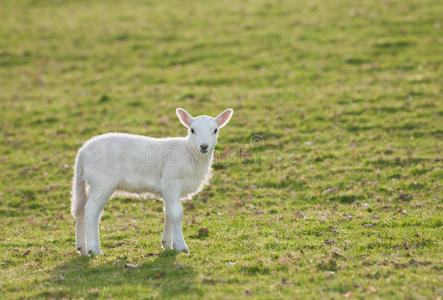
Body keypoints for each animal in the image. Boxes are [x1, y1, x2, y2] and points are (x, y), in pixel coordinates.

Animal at [70, 108, 234, 255]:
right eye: (192, 130)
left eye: (215, 130)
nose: (204, 146)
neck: (189, 152)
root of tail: (82, 151)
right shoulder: (172, 182)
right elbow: (177, 213)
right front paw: (181, 246)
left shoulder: (168, 189)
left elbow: (168, 212)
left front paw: (167, 245)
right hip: (102, 181)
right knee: (91, 210)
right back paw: (94, 249)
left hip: (88, 182)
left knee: (80, 210)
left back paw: (82, 248)